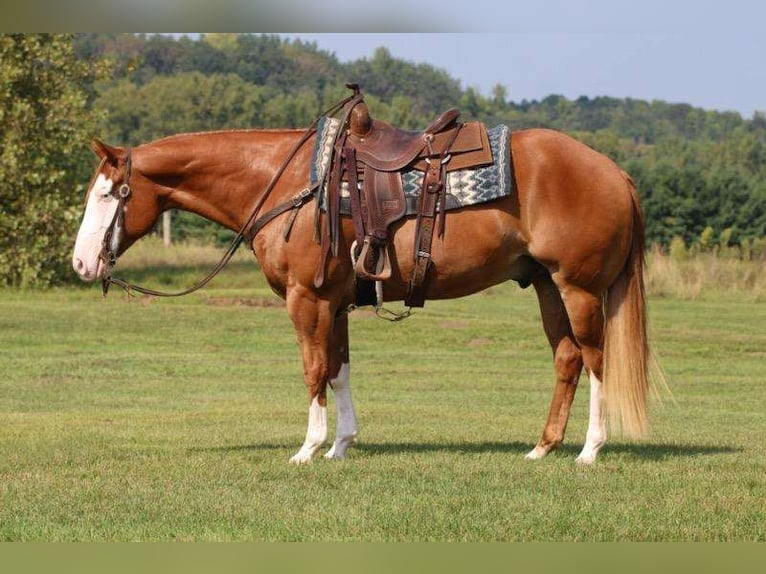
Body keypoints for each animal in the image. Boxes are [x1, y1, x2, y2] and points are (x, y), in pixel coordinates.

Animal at [73, 111, 660, 464]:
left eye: (108, 194)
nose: (81, 263)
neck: (290, 185)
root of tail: (616, 172)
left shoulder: (306, 300)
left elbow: (313, 370)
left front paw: (308, 449)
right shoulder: (334, 304)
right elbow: (338, 371)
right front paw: (340, 446)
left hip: (578, 287)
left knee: (596, 358)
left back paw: (590, 449)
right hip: (544, 285)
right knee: (567, 358)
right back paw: (543, 447)